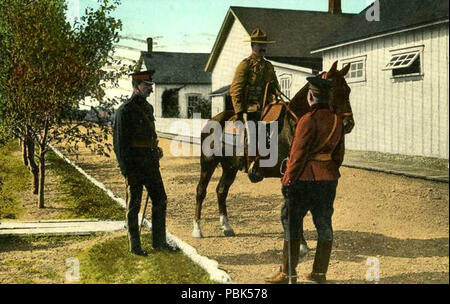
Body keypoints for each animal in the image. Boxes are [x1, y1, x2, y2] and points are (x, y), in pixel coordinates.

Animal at [192, 60, 354, 239]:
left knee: (221, 191)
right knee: (201, 191)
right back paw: (197, 229)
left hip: (230, 167)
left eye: (348, 90)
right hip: (208, 163)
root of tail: (213, 120)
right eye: (332, 89)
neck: (293, 123)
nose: (348, 124)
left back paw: (226, 227)